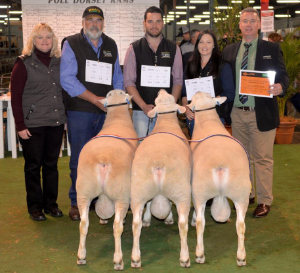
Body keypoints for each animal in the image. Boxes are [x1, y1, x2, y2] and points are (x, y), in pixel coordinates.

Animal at [77, 90, 139, 270]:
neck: (117, 119)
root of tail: (103, 159)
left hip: (83, 191)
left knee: (83, 223)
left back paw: (81, 256)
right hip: (121, 194)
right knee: (117, 226)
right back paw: (118, 260)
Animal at [131, 90, 192, 268]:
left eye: (167, 97)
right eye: (159, 98)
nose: (161, 90)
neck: (165, 123)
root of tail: (158, 164)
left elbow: (150, 203)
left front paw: (147, 219)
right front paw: (169, 218)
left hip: (138, 190)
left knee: (135, 224)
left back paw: (135, 258)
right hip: (181, 191)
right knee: (183, 224)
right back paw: (185, 257)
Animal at [188, 92, 251, 266]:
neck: (207, 120)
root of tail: (221, 164)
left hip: (200, 191)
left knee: (200, 222)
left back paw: (199, 254)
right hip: (241, 192)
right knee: (241, 225)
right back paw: (241, 257)